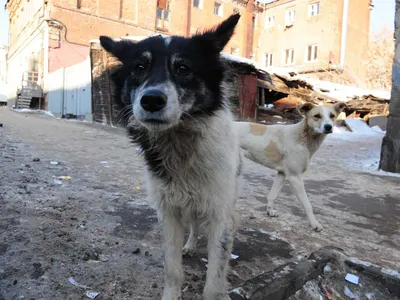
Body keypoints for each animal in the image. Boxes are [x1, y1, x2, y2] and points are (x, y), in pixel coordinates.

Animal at [101, 13, 242, 300]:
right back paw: (190, 244)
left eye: (183, 68)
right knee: (194, 225)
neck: (180, 144)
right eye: (139, 67)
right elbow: (172, 269)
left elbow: (213, 282)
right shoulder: (168, 212)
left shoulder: (220, 216)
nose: (151, 101)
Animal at [234, 102, 346, 231]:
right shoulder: (294, 177)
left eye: (332, 116)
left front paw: (270, 211)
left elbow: (272, 195)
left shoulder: (282, 174)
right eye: (317, 116)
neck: (302, 135)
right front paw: (314, 224)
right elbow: (307, 204)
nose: (328, 127)